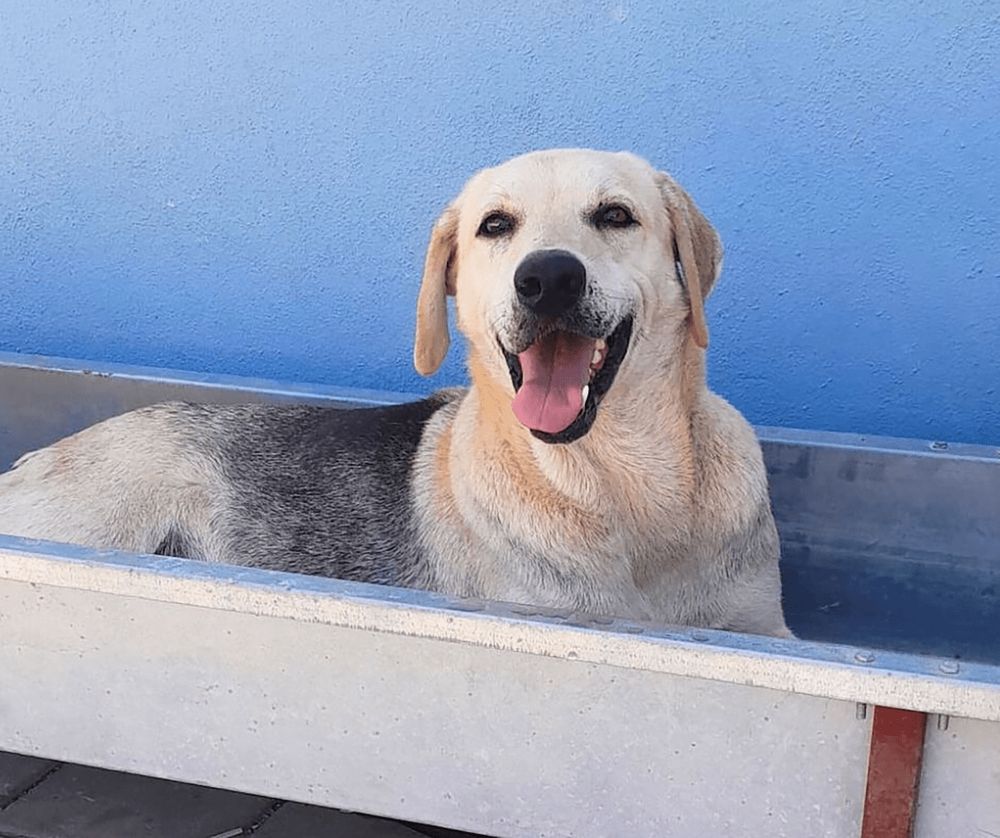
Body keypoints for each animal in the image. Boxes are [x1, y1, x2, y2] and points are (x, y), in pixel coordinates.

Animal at [0, 149, 791, 637]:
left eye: (616, 215)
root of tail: (27, 464)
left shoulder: (765, 627)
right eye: (495, 225)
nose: (548, 277)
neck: (625, 489)